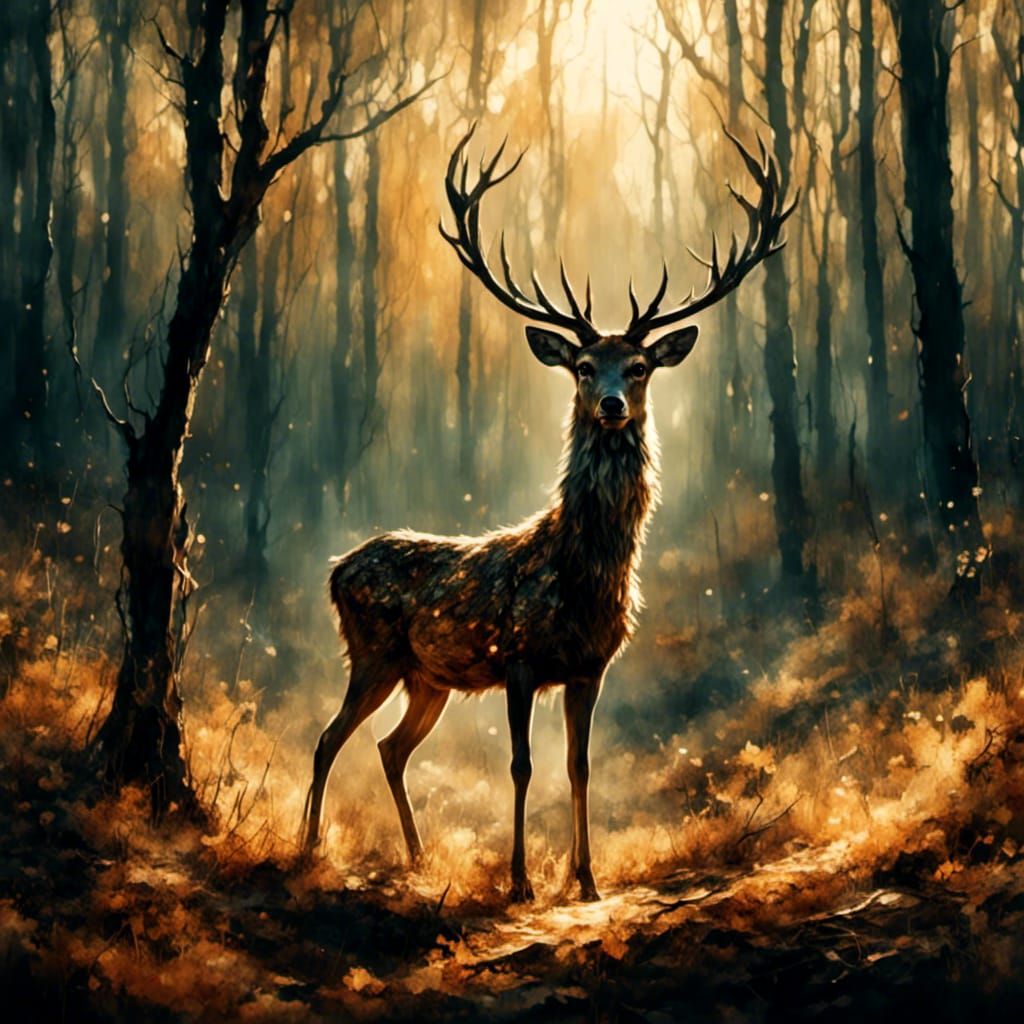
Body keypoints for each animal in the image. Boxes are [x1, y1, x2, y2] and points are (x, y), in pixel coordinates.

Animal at [302, 124, 793, 902]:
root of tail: (334, 570)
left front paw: (586, 879)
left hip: (427, 677)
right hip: (373, 651)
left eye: (640, 366)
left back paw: (416, 857)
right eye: (584, 367)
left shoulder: (590, 667)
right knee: (327, 739)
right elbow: (522, 765)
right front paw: (521, 882)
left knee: (388, 748)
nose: (613, 404)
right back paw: (310, 846)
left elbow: (578, 766)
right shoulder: (521, 658)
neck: (581, 572)